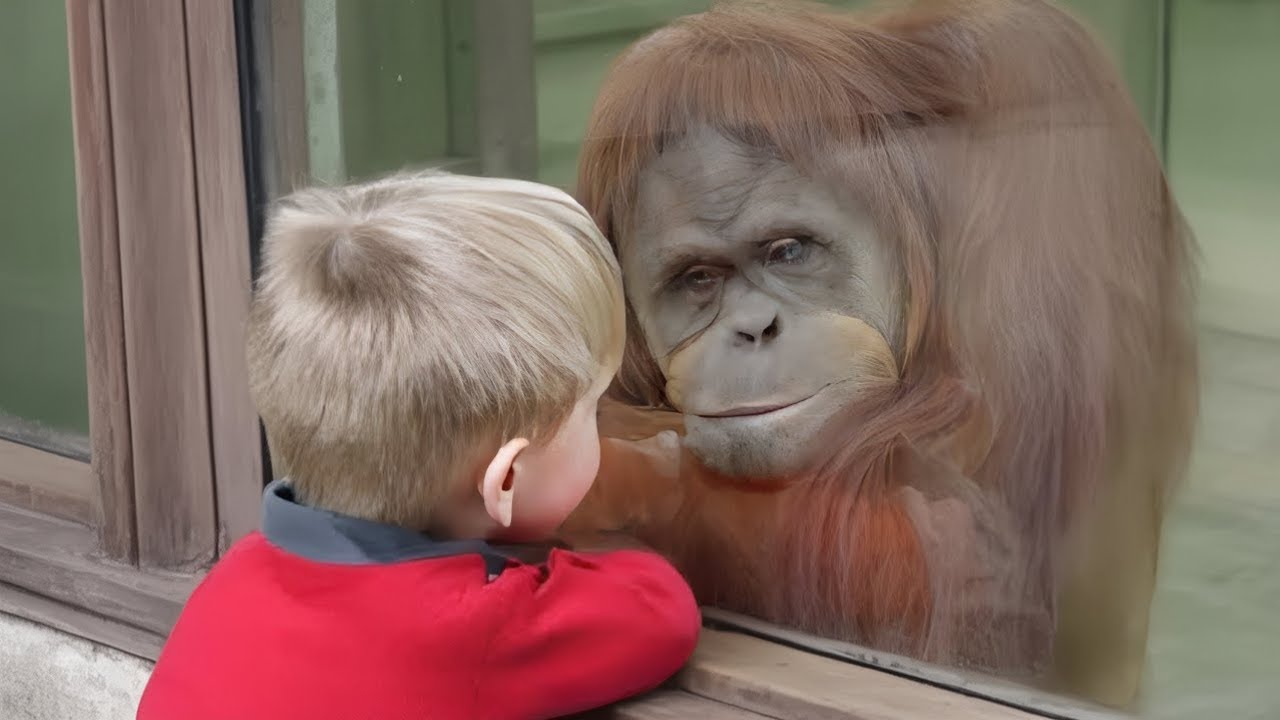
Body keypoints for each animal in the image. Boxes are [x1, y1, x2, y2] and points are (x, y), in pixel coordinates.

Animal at [560, 0, 1199, 709]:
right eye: (698, 278)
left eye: (788, 250)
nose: (752, 329)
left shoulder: (1048, 149)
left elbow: (988, 549)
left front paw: (619, 466)